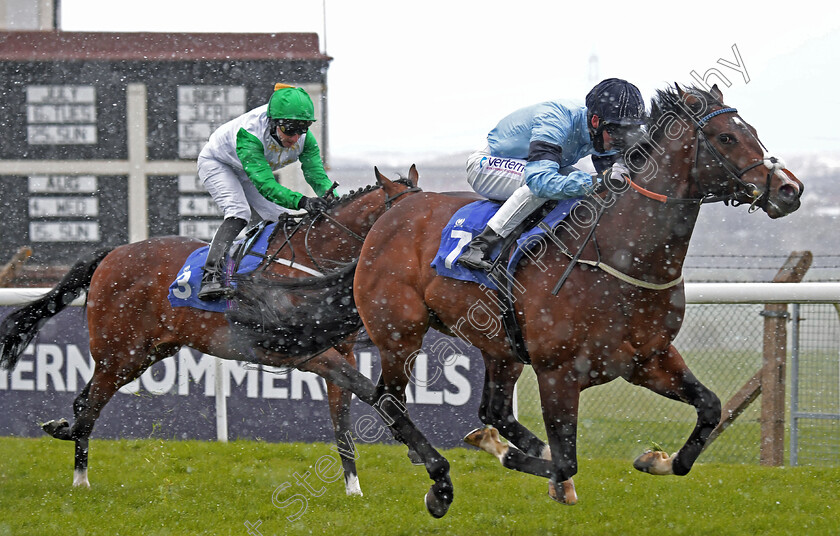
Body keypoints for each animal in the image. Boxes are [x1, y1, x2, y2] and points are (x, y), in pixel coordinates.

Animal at [0, 166, 420, 494]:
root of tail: (113, 253)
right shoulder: (306, 354)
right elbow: (372, 395)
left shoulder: (341, 351)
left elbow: (344, 421)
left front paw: (354, 488)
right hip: (119, 351)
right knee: (87, 404)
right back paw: (75, 467)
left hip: (145, 352)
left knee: (86, 401)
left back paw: (76, 463)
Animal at [266, 85, 804, 516]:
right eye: (727, 138)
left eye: (753, 130)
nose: (790, 189)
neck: (619, 254)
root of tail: (392, 212)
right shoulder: (559, 371)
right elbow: (567, 457)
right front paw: (510, 457)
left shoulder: (648, 358)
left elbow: (709, 409)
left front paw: (658, 459)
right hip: (399, 333)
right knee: (388, 400)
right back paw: (440, 481)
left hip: (499, 347)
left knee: (492, 410)